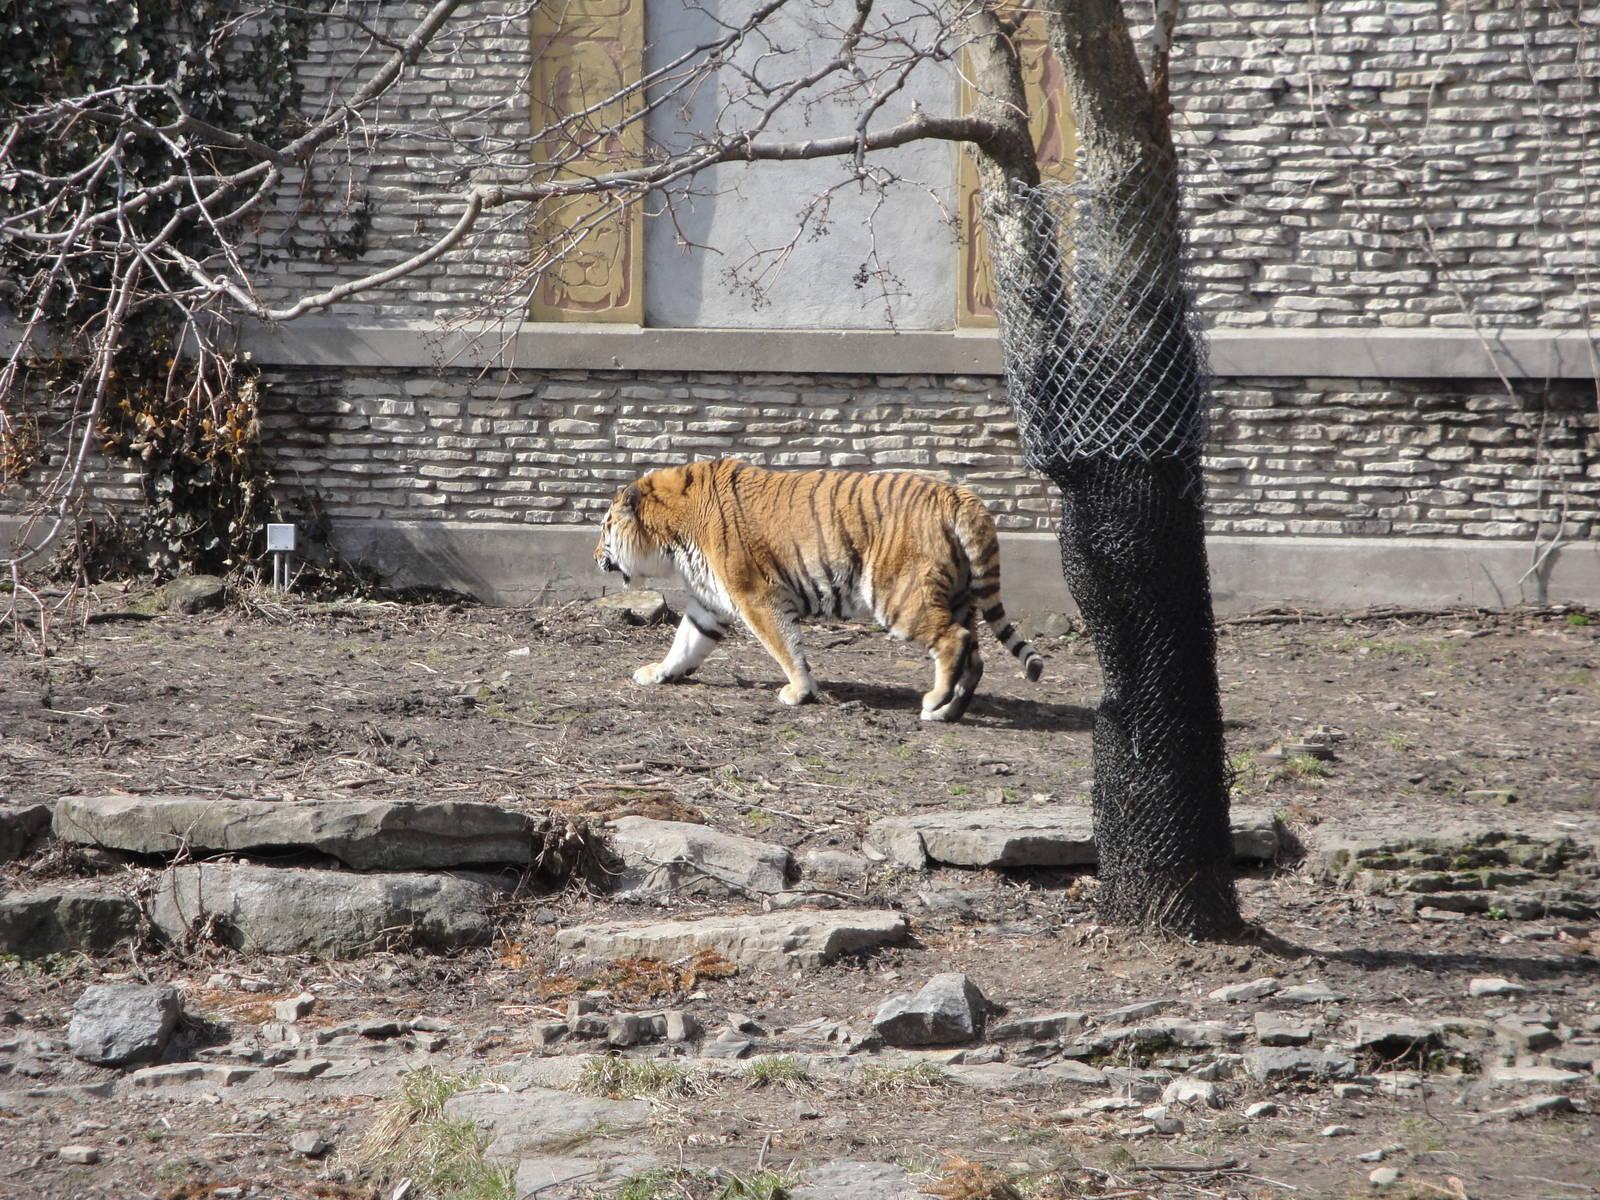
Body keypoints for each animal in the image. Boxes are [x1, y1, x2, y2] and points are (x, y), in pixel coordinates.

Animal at [593, 459, 1044, 722]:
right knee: (976, 655)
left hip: (897, 595)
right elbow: (685, 643)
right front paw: (658, 673)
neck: (671, 535)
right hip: (960, 596)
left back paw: (933, 702)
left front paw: (799, 691)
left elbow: (784, 645)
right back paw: (949, 712)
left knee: (955, 640)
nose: (596, 555)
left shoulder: (755, 595)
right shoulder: (709, 602)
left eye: (605, 528)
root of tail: (959, 493)